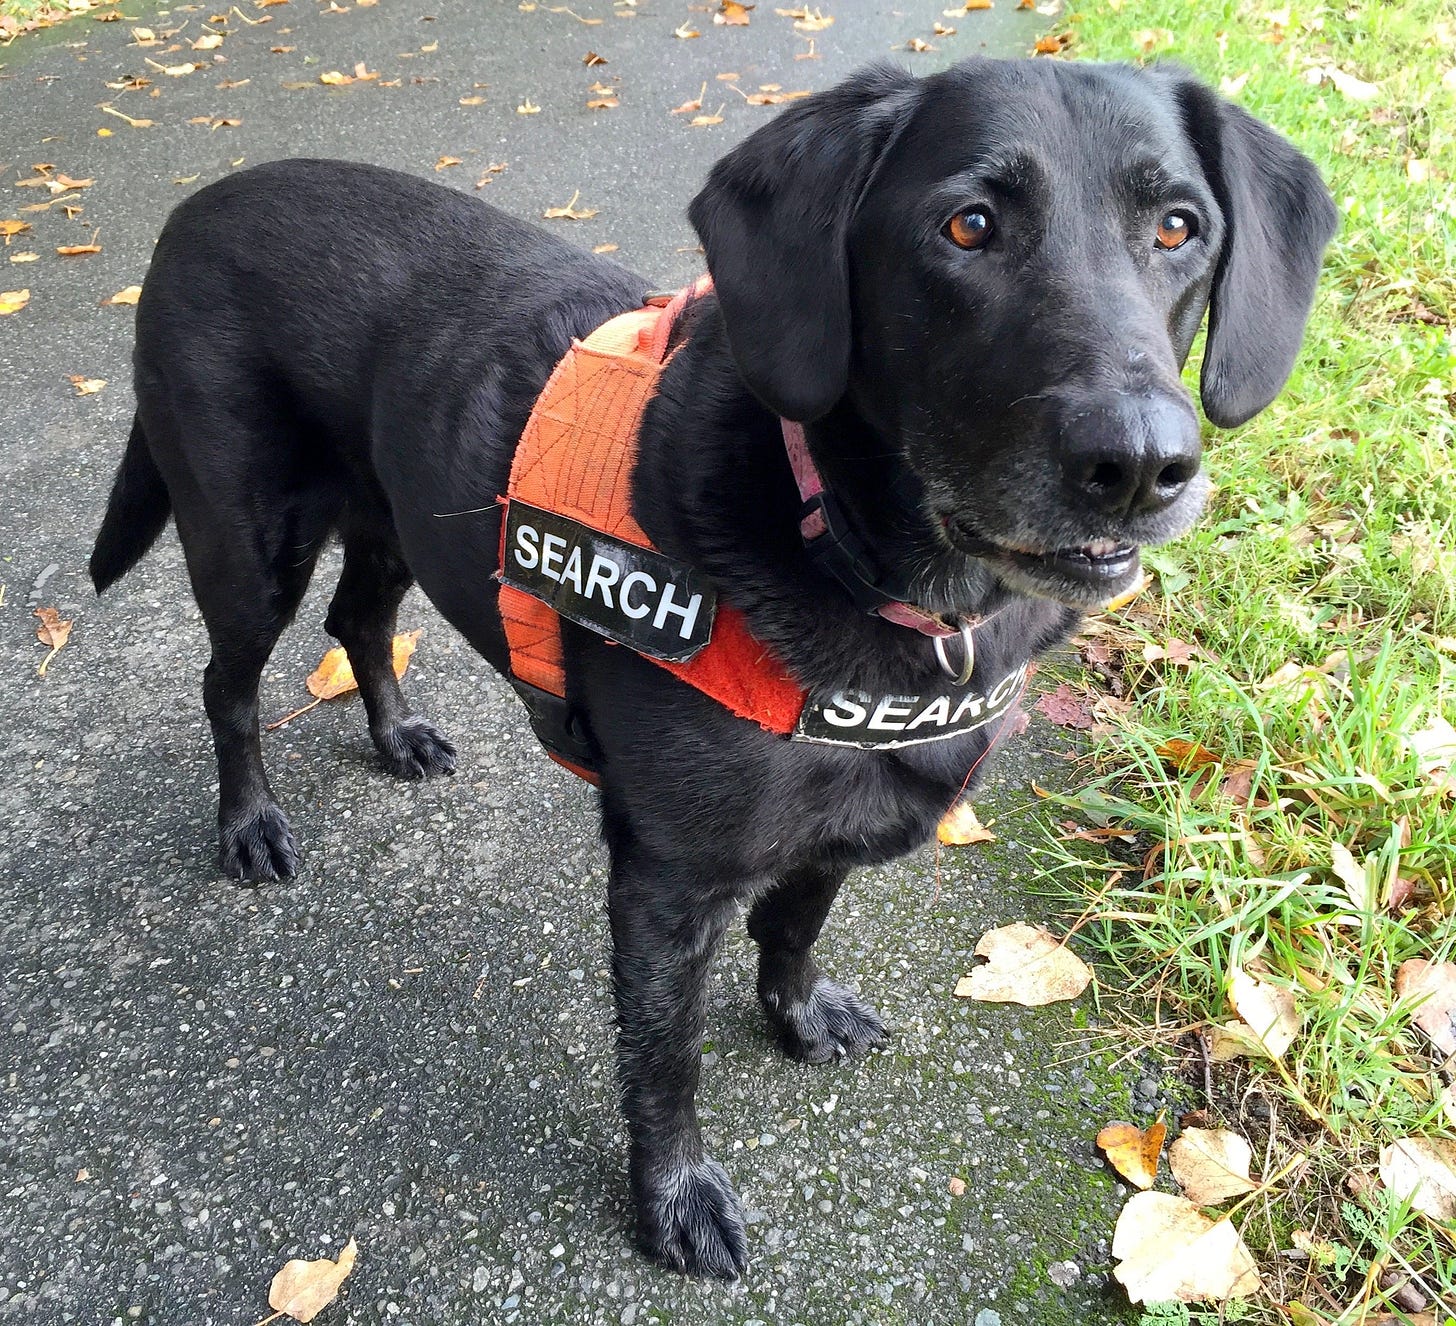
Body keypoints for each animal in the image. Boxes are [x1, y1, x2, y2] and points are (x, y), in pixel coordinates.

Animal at [91, 59, 1333, 1275]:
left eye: (1177, 228)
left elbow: (795, 925)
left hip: (396, 516)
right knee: (228, 685)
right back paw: (249, 825)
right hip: (249, 541)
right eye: (967, 226)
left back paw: (397, 734)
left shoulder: (838, 818)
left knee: (358, 622)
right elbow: (664, 1060)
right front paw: (673, 1200)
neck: (860, 555)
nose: (1138, 465)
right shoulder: (667, 883)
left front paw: (796, 1013)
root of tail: (199, 203)